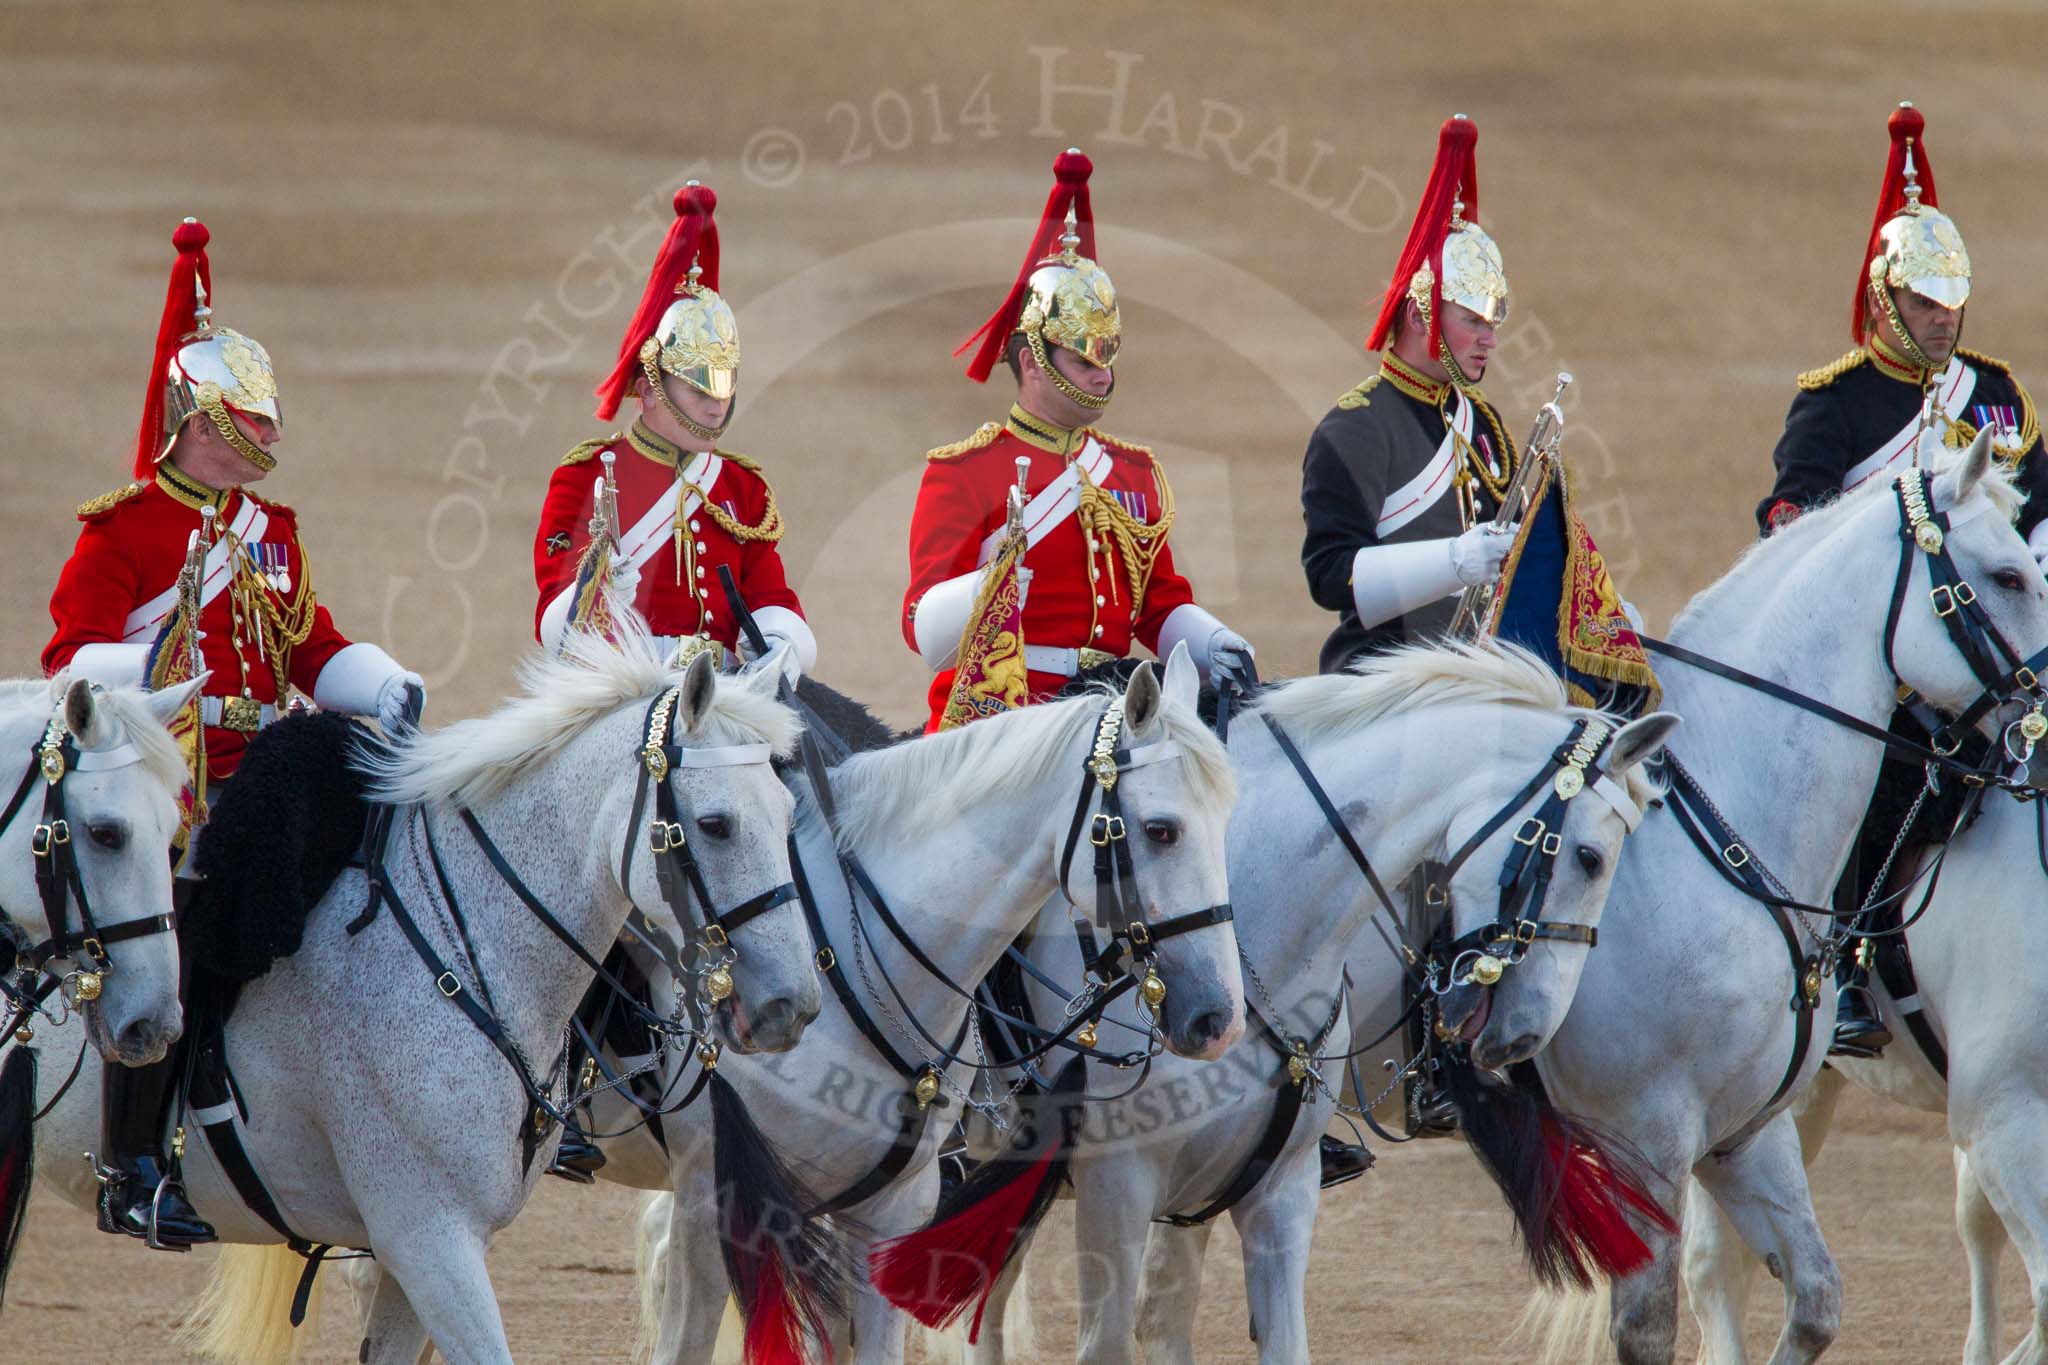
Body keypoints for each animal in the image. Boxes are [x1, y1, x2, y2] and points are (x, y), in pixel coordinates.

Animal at [29, 634, 815, 1358]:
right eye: (714, 823)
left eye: (787, 811)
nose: (792, 1005)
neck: (463, 953)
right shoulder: (428, 1235)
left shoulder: (423, 1252)